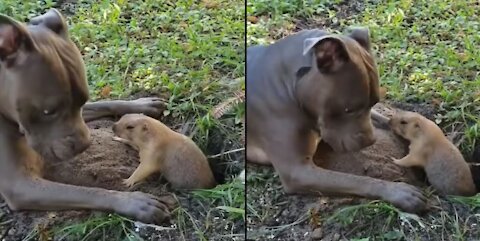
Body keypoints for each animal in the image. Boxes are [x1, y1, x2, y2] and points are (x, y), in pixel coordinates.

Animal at [0, 9, 174, 224]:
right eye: (48, 111)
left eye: (81, 101)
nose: (84, 145)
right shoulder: (20, 186)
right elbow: (88, 191)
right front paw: (135, 202)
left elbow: (103, 103)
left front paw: (141, 105)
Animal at [248, 27, 428, 213]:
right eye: (348, 109)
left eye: (374, 103)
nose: (371, 141)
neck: (290, 85)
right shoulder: (297, 171)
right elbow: (355, 180)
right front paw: (399, 192)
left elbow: (385, 119)